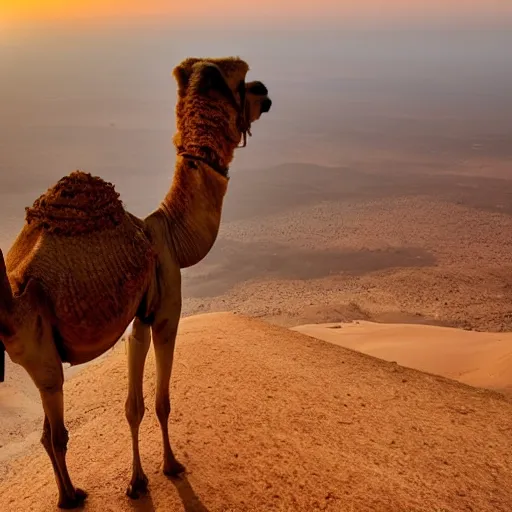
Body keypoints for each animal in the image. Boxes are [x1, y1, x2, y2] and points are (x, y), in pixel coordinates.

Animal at [0, 57, 272, 508]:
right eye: (242, 82)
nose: (266, 93)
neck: (170, 235)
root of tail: (11, 289)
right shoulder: (166, 312)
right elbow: (161, 402)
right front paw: (171, 466)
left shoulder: (139, 317)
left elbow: (133, 405)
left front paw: (138, 481)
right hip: (37, 345)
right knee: (56, 432)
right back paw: (71, 496)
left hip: (39, 352)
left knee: (44, 434)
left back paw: (67, 492)